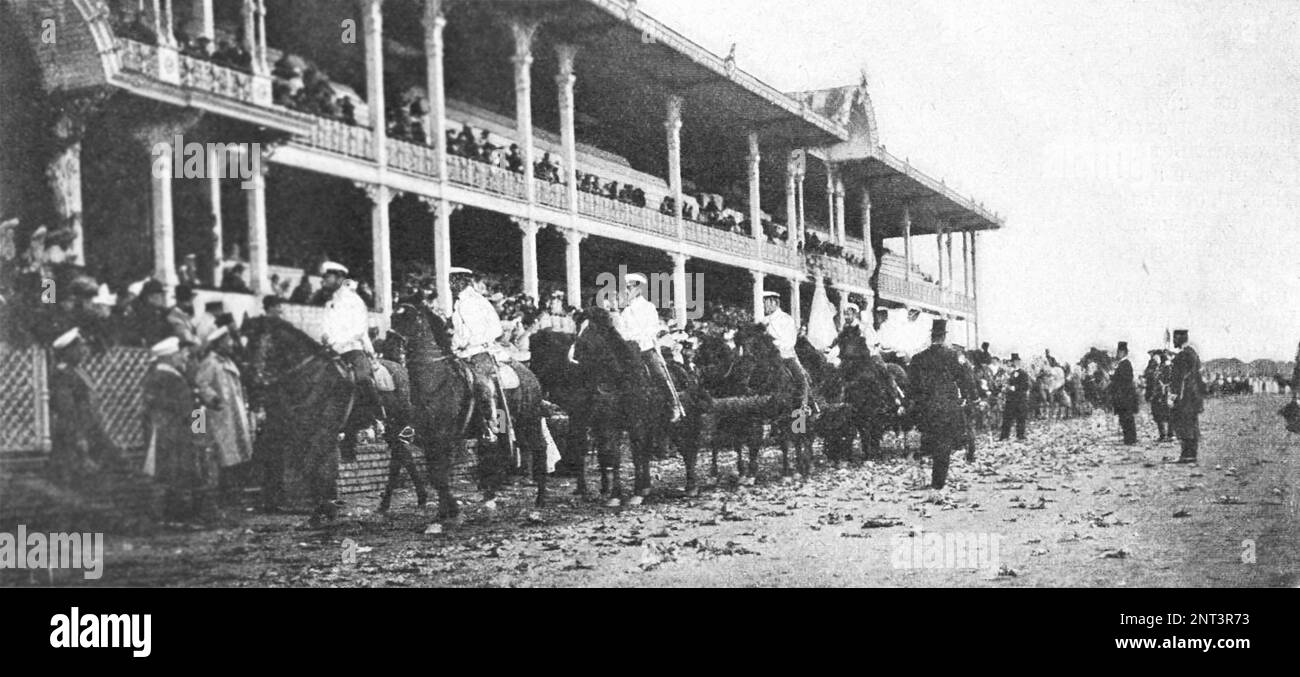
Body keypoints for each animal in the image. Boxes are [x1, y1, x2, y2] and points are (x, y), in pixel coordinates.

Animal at [232, 314, 416, 519]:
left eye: (256, 342)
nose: (249, 382)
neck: (310, 376)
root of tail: (401, 368)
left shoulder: (323, 432)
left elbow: (317, 466)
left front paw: (323, 507)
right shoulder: (294, 430)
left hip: (396, 423)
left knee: (400, 458)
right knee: (403, 456)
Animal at [384, 301, 548, 517]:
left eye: (411, 318)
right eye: (393, 317)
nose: (389, 350)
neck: (435, 381)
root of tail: (529, 374)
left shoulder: (444, 439)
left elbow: (439, 475)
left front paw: (451, 510)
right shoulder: (429, 440)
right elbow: (435, 476)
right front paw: (445, 510)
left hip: (529, 420)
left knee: (539, 448)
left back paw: (541, 499)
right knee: (505, 454)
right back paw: (490, 496)